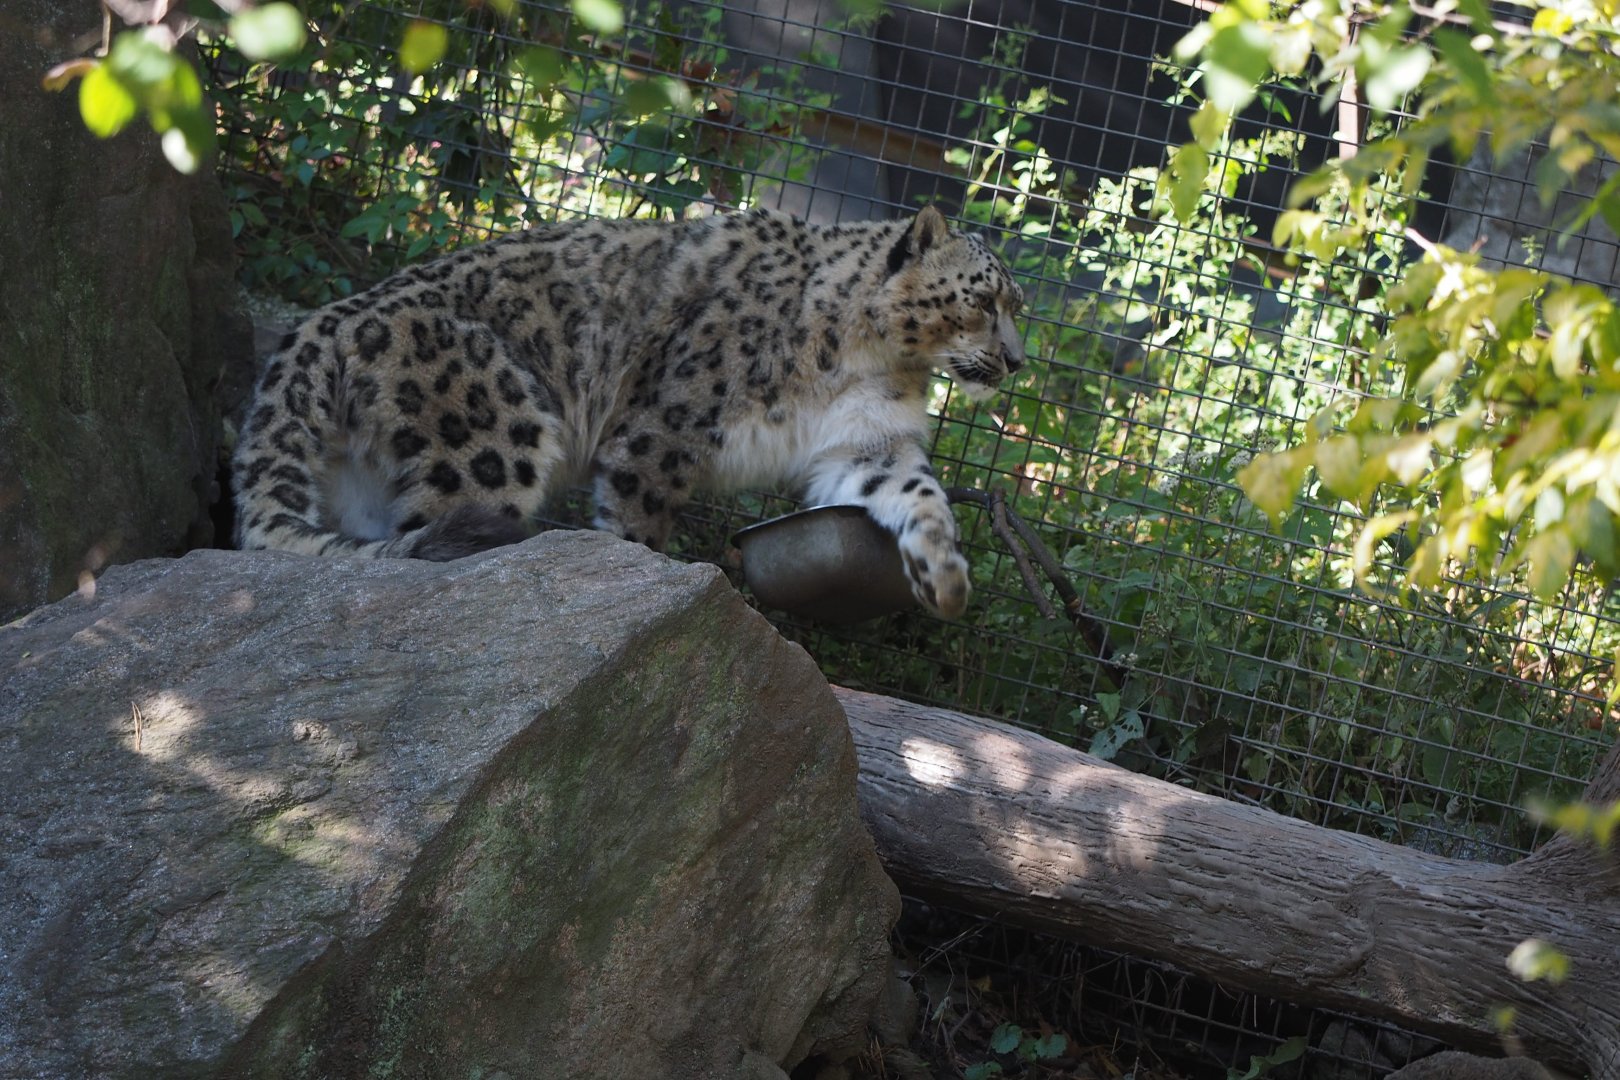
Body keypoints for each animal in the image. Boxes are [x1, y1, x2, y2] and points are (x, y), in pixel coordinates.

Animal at [231, 205, 1025, 618]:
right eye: (985, 300)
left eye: (1014, 303)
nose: (1019, 361)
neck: (870, 357)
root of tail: (327, 320)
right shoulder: (661, 433)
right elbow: (637, 531)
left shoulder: (866, 443)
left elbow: (918, 494)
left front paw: (943, 578)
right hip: (490, 444)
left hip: (362, 484)